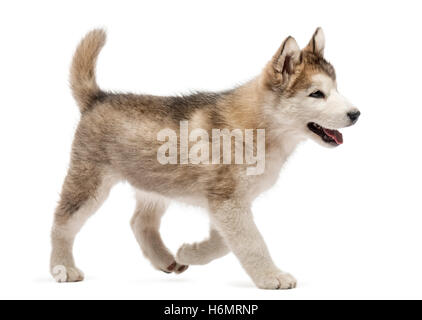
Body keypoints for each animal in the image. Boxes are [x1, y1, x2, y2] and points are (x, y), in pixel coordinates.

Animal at [49, 26, 360, 288]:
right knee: (62, 222)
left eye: (336, 89)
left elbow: (224, 242)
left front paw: (190, 252)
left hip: (155, 185)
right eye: (316, 94)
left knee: (139, 222)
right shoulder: (227, 202)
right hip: (90, 184)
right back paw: (62, 268)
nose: (356, 114)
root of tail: (98, 98)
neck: (262, 128)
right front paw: (271, 276)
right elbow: (251, 241)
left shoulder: (227, 204)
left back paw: (165, 258)